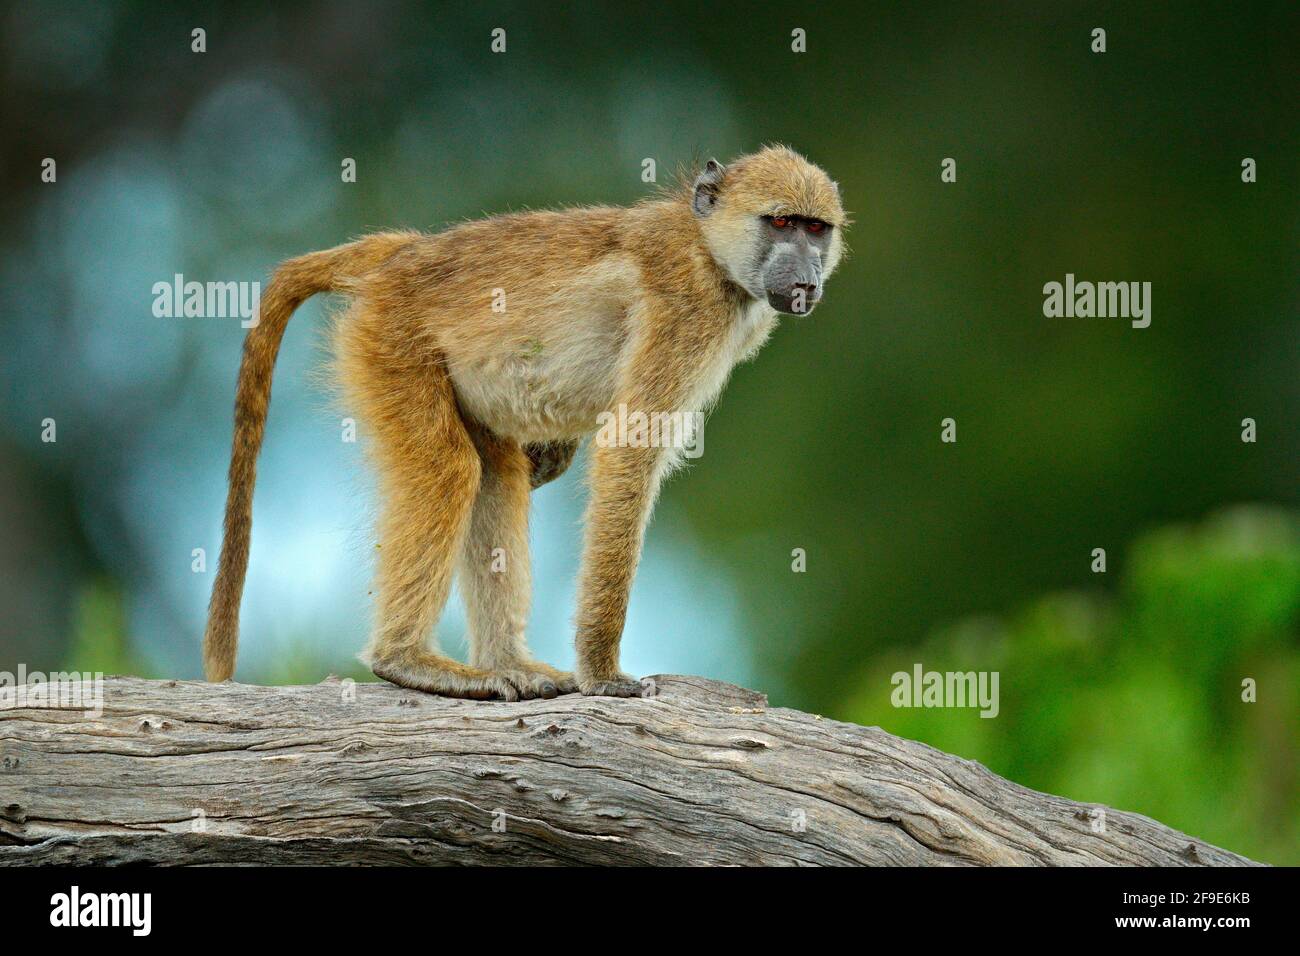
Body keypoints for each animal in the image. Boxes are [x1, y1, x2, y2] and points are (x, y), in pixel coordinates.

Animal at [202, 145, 847, 699]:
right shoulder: (688, 307)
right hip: (390, 342)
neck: (709, 247)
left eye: (816, 229)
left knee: (493, 475)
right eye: (781, 222)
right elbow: (628, 449)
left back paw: (505, 661)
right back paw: (406, 660)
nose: (807, 277)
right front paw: (601, 672)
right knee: (449, 470)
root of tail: (400, 254)